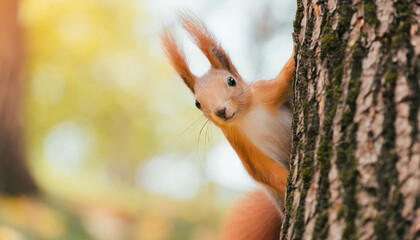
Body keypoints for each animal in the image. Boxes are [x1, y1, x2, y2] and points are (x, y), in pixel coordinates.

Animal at [161, 13, 296, 240]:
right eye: (197, 103)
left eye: (231, 81)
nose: (221, 111)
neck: (245, 116)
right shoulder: (241, 145)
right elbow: (263, 170)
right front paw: (288, 180)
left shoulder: (267, 92)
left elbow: (285, 78)